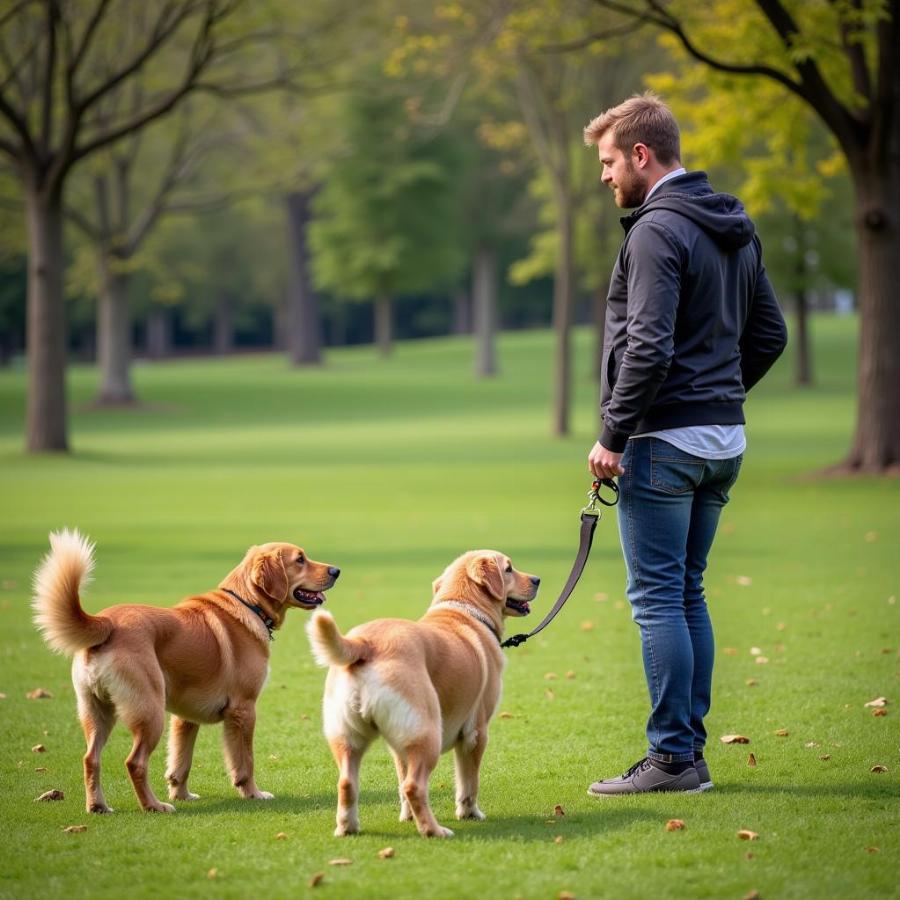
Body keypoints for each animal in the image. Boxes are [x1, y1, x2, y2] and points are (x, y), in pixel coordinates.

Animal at [33, 532, 340, 812]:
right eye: (300, 559)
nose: (336, 570)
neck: (246, 603)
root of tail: (105, 622)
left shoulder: (185, 717)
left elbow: (181, 762)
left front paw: (181, 794)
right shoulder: (243, 710)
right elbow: (245, 762)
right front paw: (252, 793)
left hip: (98, 712)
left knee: (90, 759)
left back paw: (98, 806)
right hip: (150, 712)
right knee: (135, 762)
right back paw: (153, 806)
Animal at [306, 548, 536, 836]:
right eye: (509, 569)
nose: (537, 579)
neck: (465, 610)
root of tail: (364, 643)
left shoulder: (398, 745)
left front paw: (407, 818)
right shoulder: (476, 733)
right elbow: (468, 783)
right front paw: (469, 813)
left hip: (348, 738)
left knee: (348, 783)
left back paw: (348, 828)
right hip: (428, 734)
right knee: (413, 786)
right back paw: (433, 830)